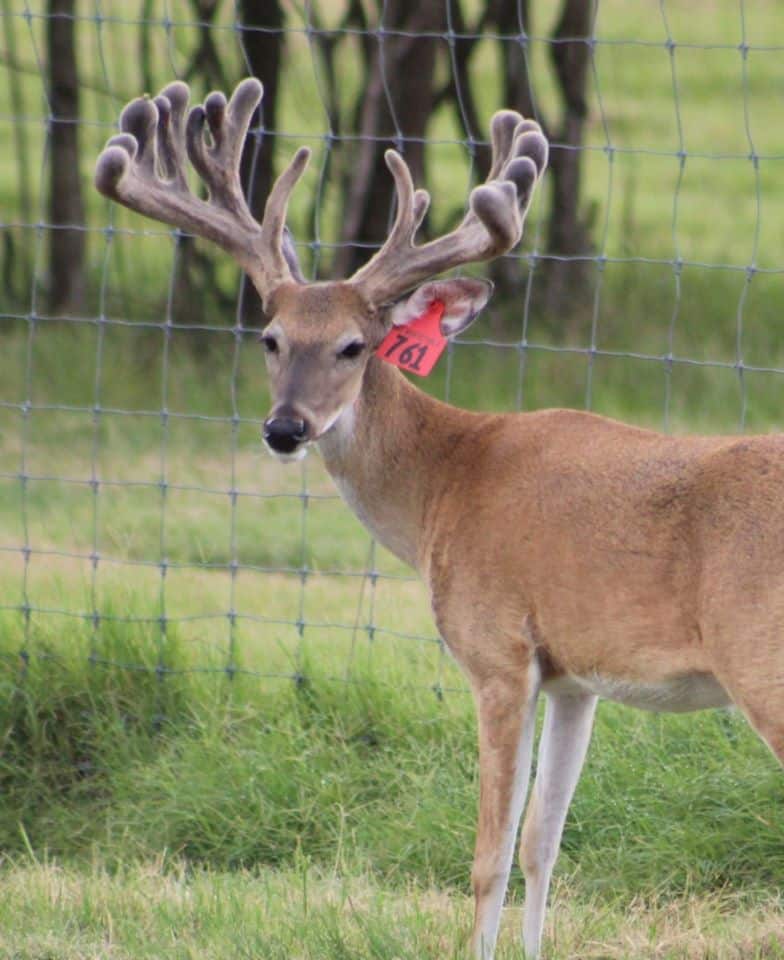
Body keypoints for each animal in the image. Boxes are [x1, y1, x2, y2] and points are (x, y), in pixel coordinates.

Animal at [95, 78, 784, 959]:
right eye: (270, 338)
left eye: (355, 346)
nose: (284, 428)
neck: (445, 486)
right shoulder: (575, 676)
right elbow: (544, 844)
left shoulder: (497, 651)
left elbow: (490, 856)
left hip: (761, 659)